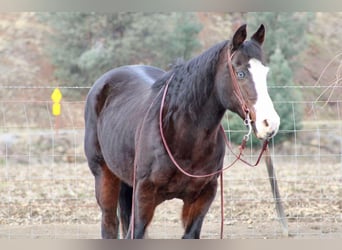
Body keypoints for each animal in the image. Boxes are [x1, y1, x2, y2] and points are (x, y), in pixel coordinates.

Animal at [84, 24, 280, 239]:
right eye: (241, 73)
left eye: (265, 73)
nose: (270, 123)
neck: (182, 134)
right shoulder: (144, 196)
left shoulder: (202, 198)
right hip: (104, 175)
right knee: (109, 223)